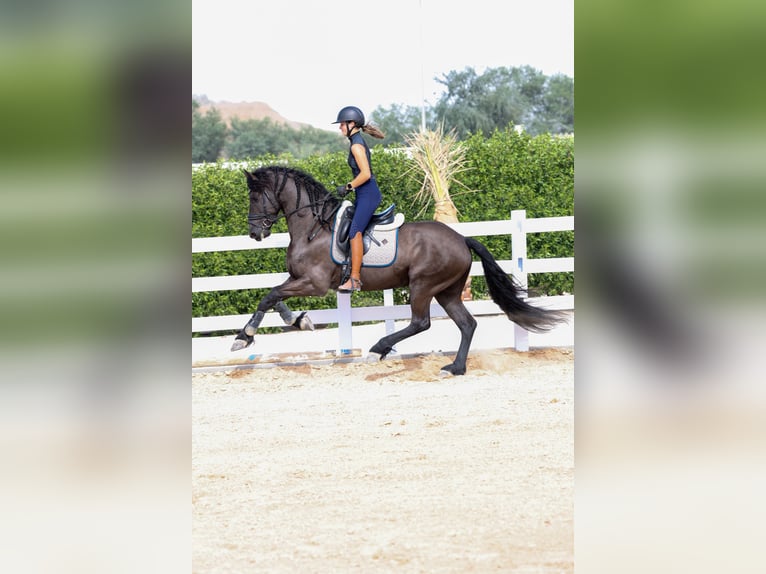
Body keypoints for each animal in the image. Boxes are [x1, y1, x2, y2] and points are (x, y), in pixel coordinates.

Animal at [230, 165, 566, 375]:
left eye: (255, 196)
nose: (254, 233)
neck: (313, 227)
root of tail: (461, 239)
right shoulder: (299, 278)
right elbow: (274, 297)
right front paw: (297, 320)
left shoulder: (314, 283)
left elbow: (269, 295)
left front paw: (244, 336)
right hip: (447, 291)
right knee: (467, 324)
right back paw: (456, 368)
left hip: (422, 286)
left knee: (421, 322)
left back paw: (378, 348)